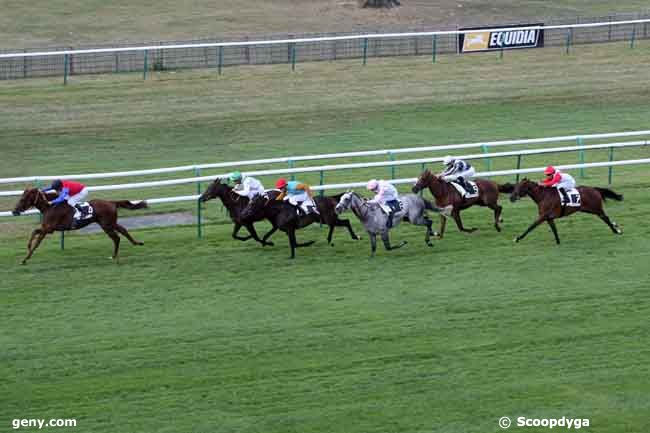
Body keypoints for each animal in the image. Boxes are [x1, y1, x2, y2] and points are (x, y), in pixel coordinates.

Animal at [12, 186, 147, 264]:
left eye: (23, 199)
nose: (14, 211)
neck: (50, 206)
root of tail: (111, 202)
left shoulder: (49, 229)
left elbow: (37, 240)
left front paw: (25, 258)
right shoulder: (47, 228)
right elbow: (34, 233)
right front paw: (27, 248)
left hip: (106, 225)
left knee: (116, 237)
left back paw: (113, 256)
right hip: (110, 223)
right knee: (123, 230)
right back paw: (137, 243)